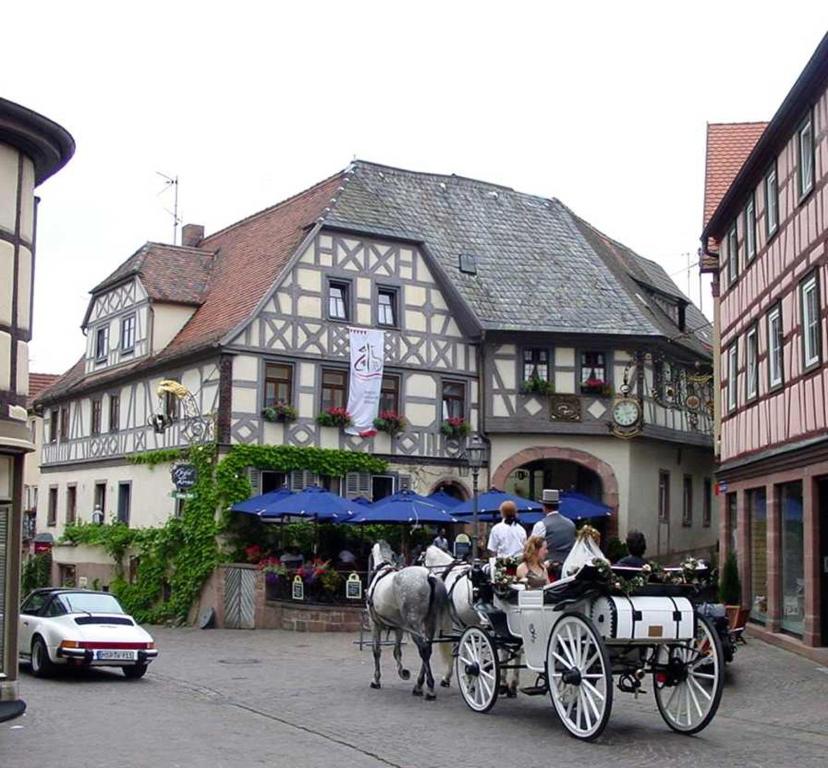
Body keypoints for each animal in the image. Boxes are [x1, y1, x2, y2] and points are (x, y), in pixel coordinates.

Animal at [366, 544, 450, 700]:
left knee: (423, 649)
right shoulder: (399, 627)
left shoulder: (375, 624)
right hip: (429, 622)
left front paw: (376, 679)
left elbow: (376, 651)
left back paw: (428, 688)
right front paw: (402, 672)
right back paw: (419, 685)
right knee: (428, 649)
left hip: (414, 624)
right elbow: (397, 651)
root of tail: (428, 576)